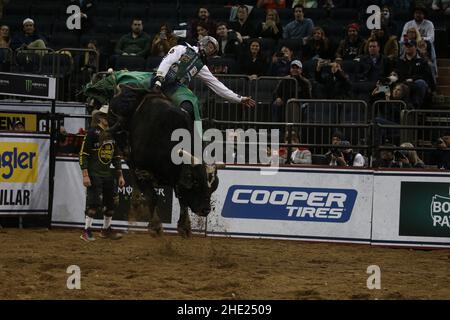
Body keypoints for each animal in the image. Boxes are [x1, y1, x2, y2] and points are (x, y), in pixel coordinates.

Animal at [107, 86, 223, 236]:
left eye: (212, 186)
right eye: (196, 182)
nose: (206, 209)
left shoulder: (176, 178)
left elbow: (182, 199)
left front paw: (185, 226)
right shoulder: (141, 170)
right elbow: (152, 196)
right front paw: (155, 226)